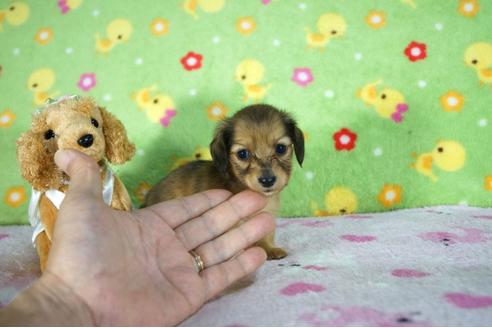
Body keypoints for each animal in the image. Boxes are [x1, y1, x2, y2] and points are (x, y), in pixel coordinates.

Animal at [143, 104, 304, 260]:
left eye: (281, 148)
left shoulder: (266, 218)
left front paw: (269, 249)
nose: (267, 180)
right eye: (242, 154)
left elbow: (265, 235)